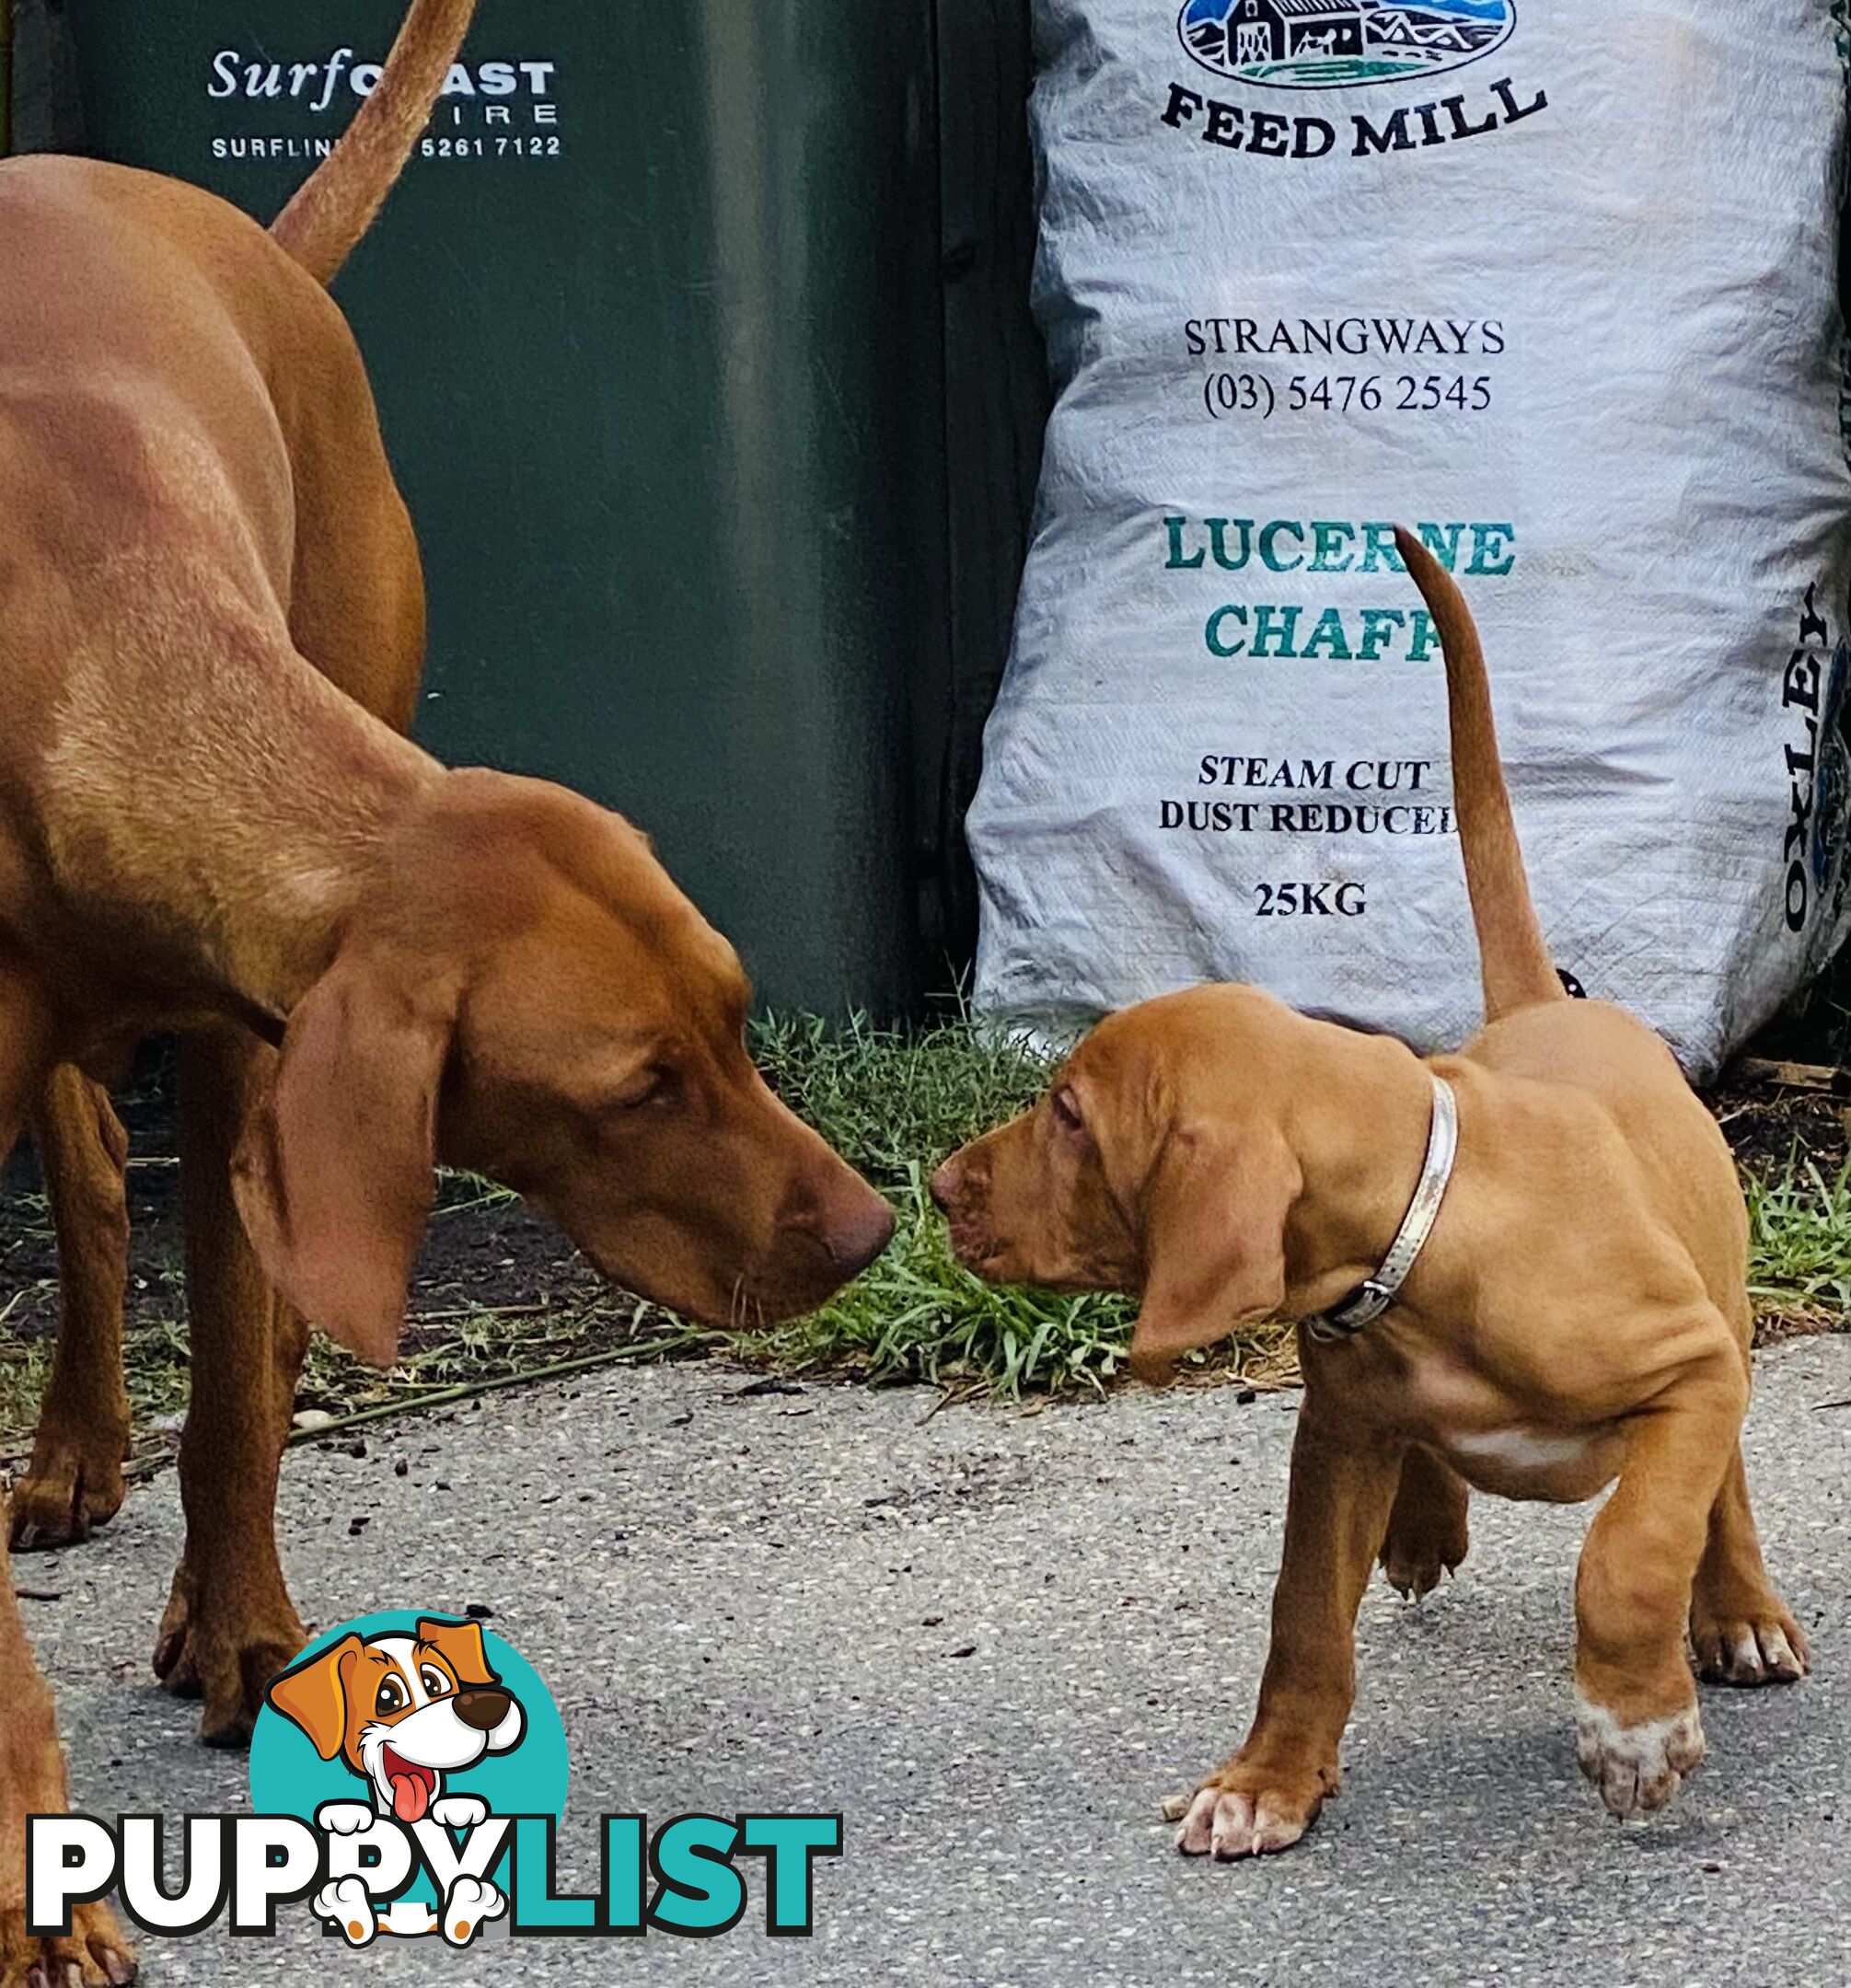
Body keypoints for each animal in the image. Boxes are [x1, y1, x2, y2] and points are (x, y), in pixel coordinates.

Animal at [0, 4, 898, 1971]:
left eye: (741, 1016)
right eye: (638, 1085)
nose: (877, 1234)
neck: (90, 632)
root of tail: (244, 228)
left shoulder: (248, 1035)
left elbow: (237, 1391)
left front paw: (244, 1633)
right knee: (91, 1173)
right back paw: (75, 1447)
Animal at [934, 532, 1805, 1860]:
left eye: (1070, 1115)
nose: (938, 1188)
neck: (1421, 1234)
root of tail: (1543, 1006)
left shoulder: (1688, 1367)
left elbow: (1632, 1547)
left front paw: (1634, 1727)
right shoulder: (1334, 1427)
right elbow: (1301, 1612)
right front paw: (1267, 1779)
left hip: (1724, 1310)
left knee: (1718, 1489)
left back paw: (1736, 1610)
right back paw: (1426, 1520)